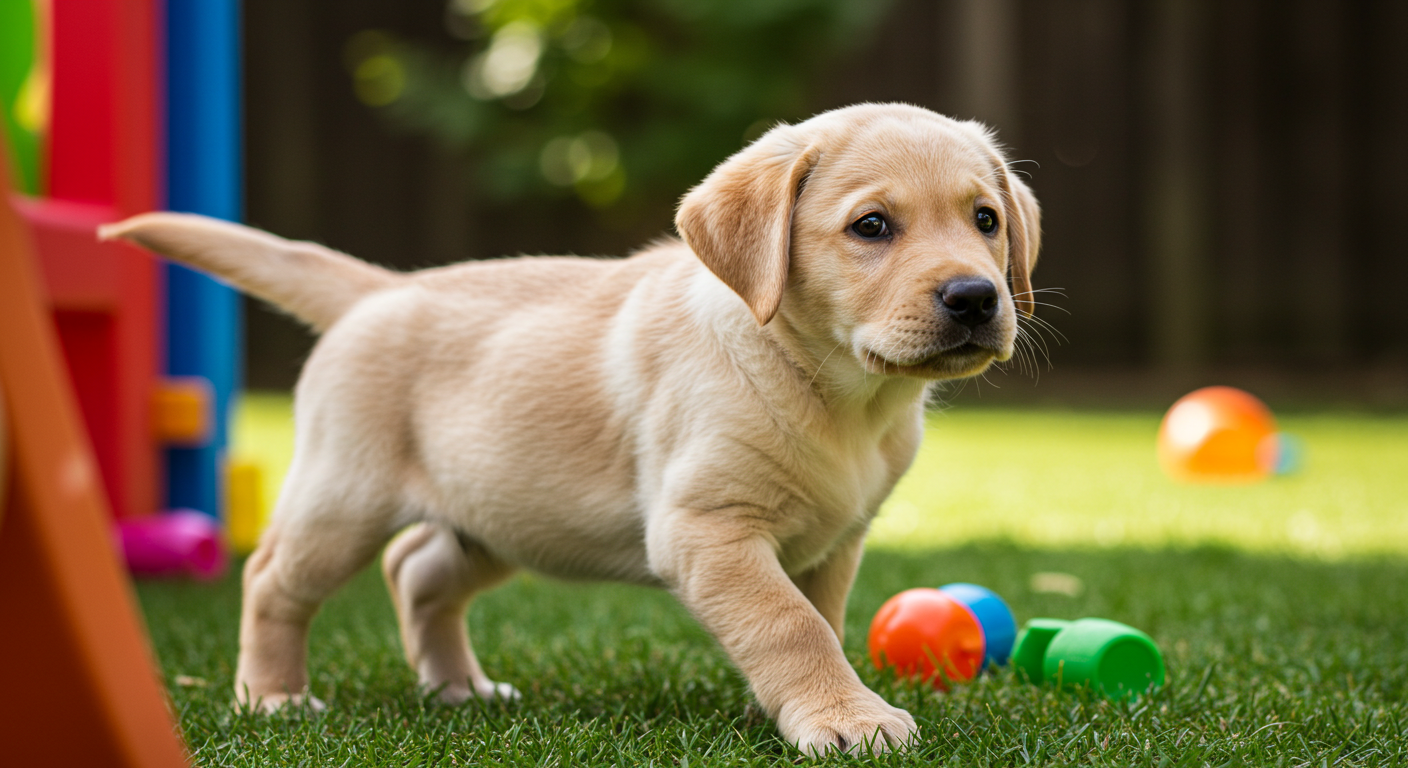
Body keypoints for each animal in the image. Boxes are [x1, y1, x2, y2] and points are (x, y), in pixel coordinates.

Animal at [104, 103, 1041, 755]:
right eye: (871, 226)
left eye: (986, 220)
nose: (975, 297)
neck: (842, 391)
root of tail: (383, 287)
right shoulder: (706, 528)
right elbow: (789, 623)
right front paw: (846, 718)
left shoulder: (833, 540)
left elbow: (819, 616)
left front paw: (797, 705)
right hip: (344, 497)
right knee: (274, 579)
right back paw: (273, 697)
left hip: (499, 513)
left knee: (419, 572)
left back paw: (460, 689)